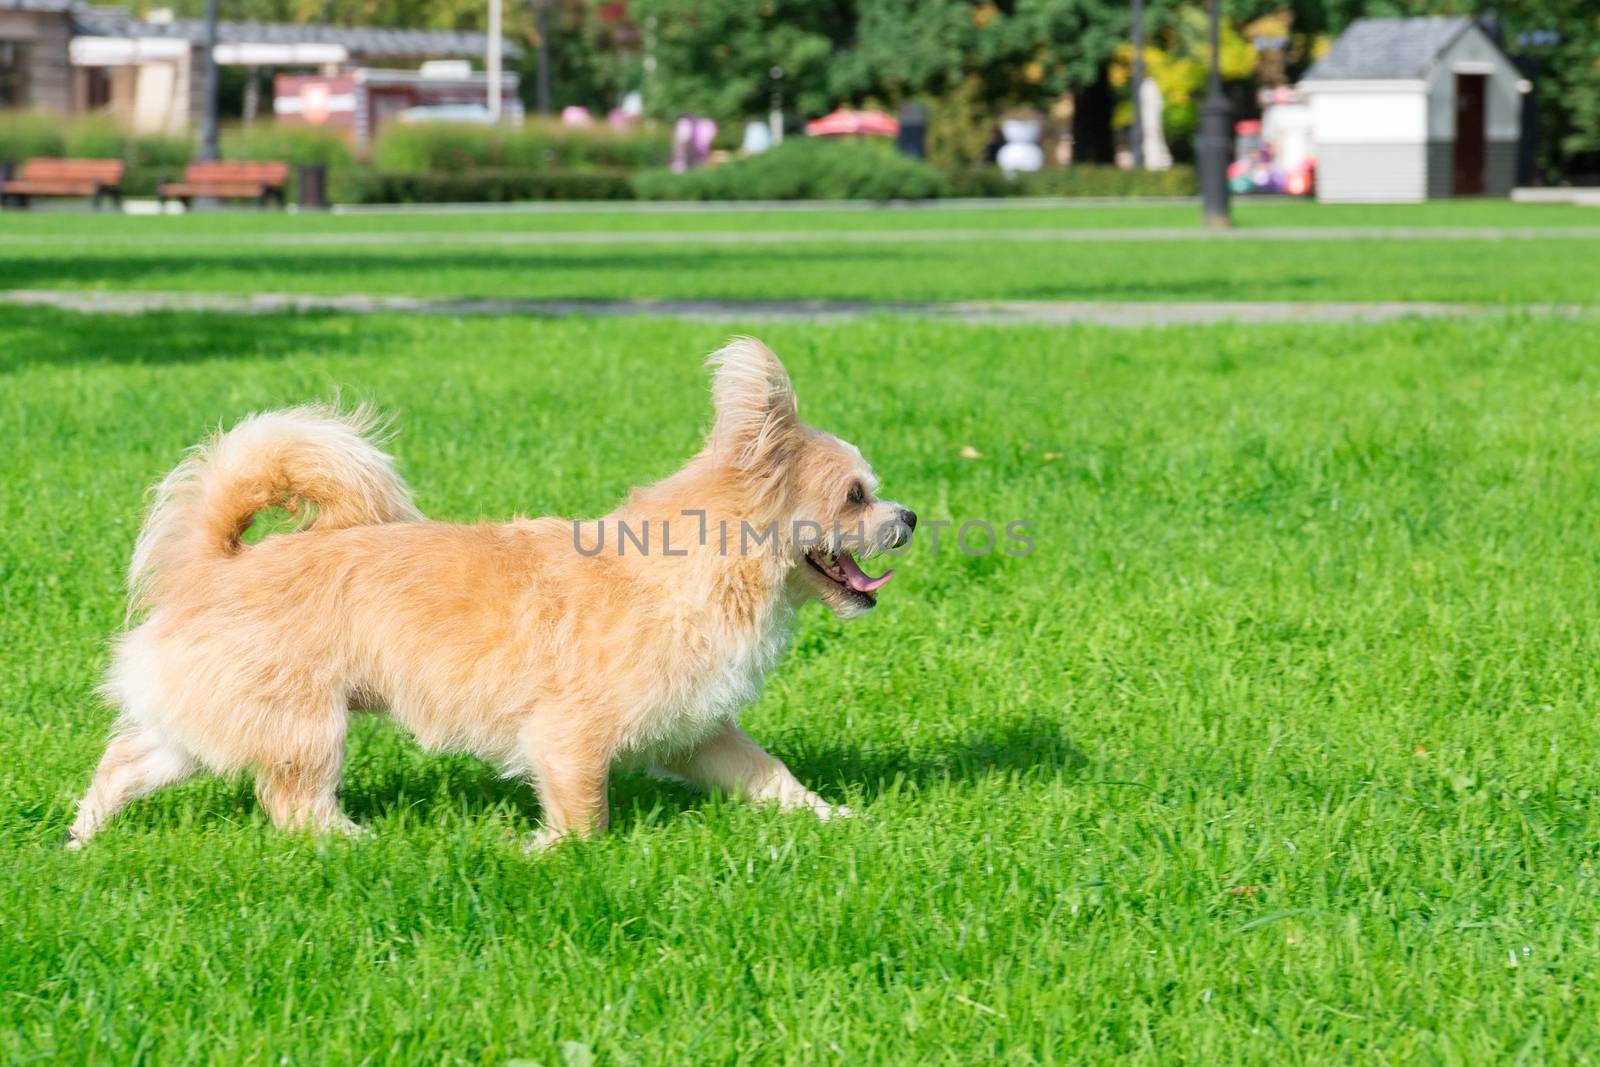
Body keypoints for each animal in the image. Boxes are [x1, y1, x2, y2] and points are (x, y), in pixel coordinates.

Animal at [68, 340, 915, 851]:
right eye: (855, 496)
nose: (907, 516)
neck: (697, 569)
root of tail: (217, 561)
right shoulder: (569, 737)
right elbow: (585, 815)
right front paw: (549, 852)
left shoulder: (698, 731)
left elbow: (771, 775)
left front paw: (833, 816)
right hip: (303, 725)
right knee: (296, 805)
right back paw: (355, 843)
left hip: (203, 722)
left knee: (126, 760)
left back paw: (81, 836)